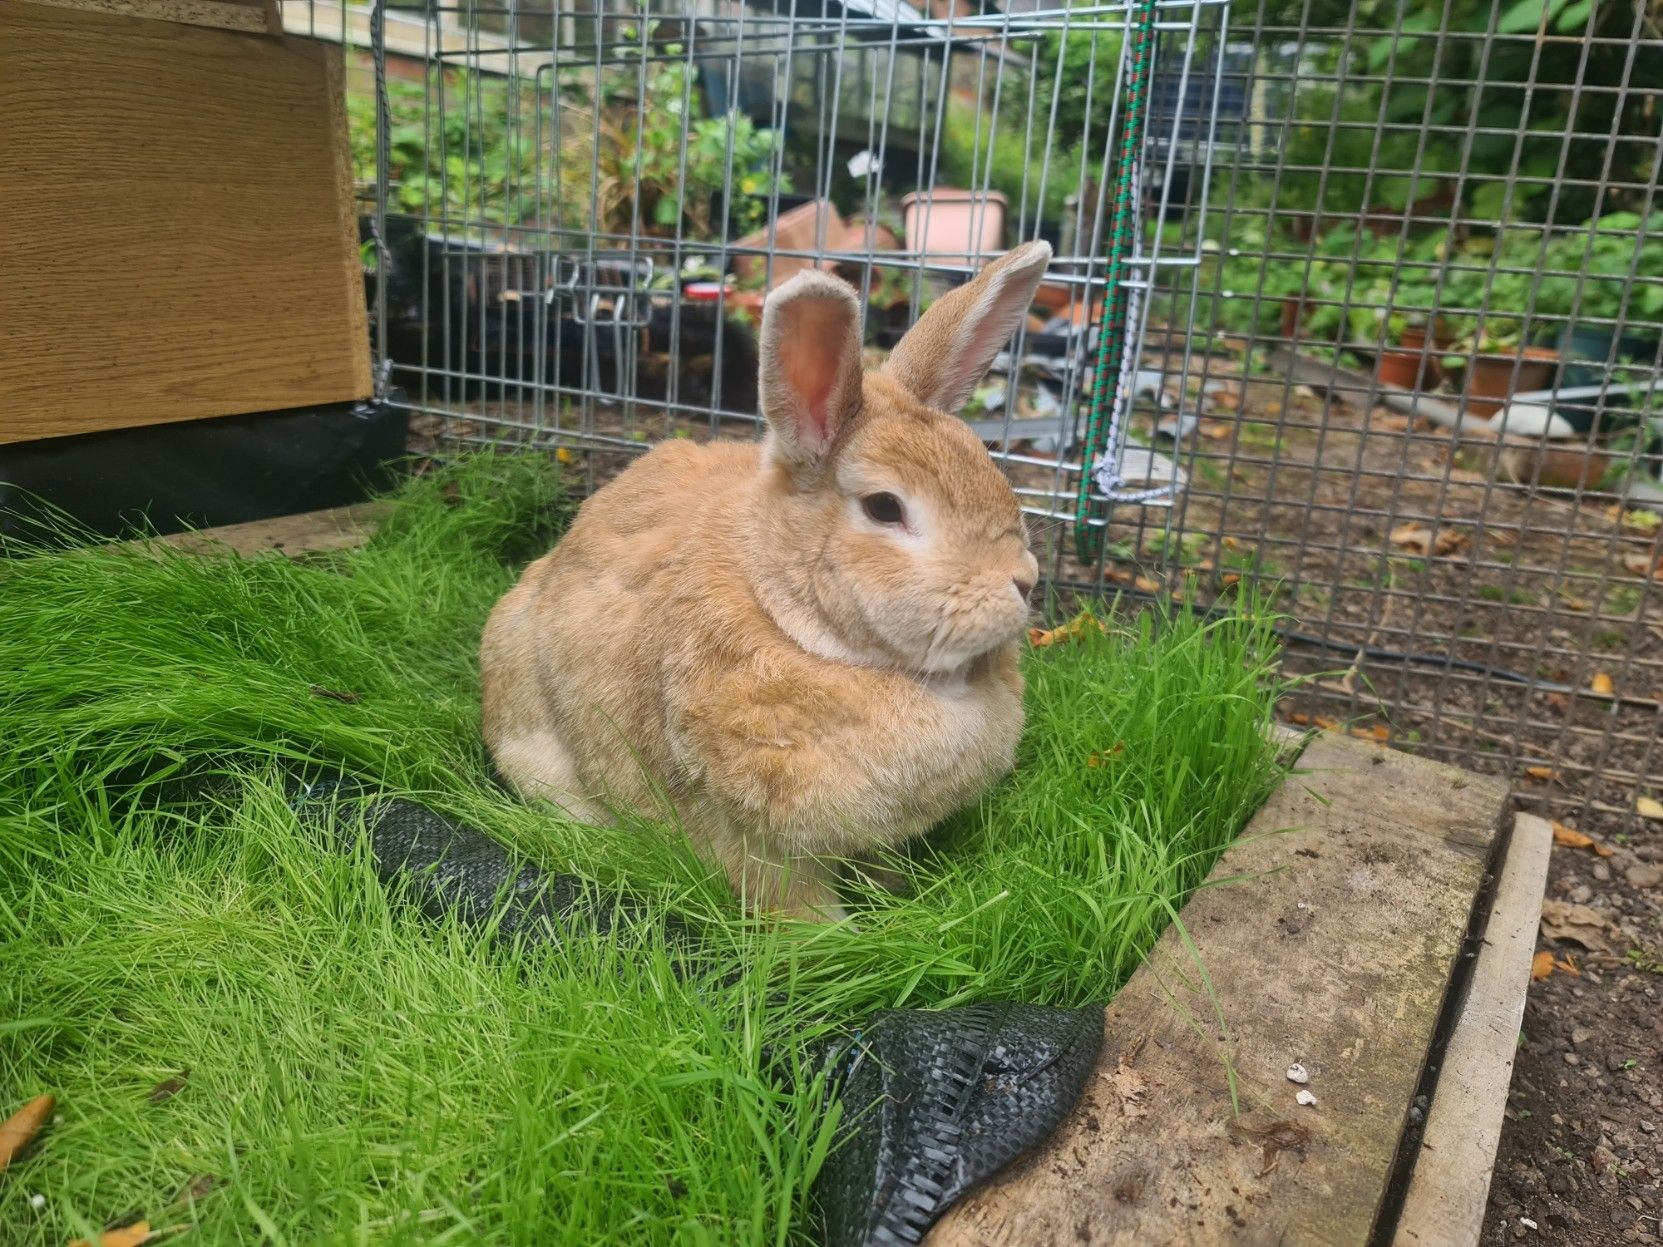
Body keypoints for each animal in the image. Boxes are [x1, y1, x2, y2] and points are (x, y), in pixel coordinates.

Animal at [480, 241, 1051, 921]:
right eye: (885, 508)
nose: (1024, 582)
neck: (791, 621)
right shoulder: (754, 840)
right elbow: (788, 898)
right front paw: (832, 934)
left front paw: (891, 895)